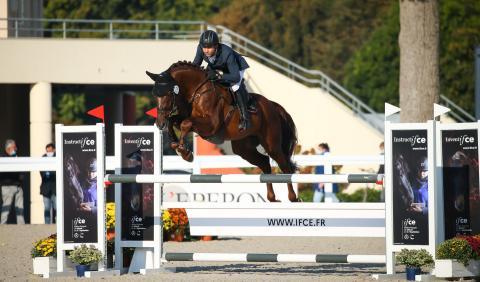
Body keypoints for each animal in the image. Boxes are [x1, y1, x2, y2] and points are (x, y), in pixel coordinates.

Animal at [144, 62, 298, 203]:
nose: (159, 123)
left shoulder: (211, 125)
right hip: (243, 148)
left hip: (271, 144)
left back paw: (293, 197)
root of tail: (272, 105)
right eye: (154, 94)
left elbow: (185, 123)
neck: (197, 91)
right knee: (265, 162)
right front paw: (176, 144)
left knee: (285, 166)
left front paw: (185, 152)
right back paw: (272, 198)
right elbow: (175, 121)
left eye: (169, 93)